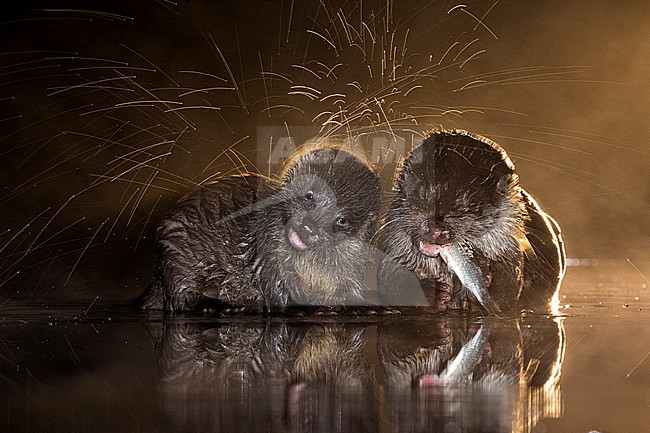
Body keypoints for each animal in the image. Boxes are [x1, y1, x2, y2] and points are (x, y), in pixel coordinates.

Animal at [137, 144, 382, 312]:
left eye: (341, 220)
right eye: (309, 195)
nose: (309, 227)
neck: (313, 270)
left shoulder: (351, 268)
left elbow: (350, 291)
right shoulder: (269, 255)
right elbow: (279, 293)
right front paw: (316, 307)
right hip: (176, 252)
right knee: (181, 298)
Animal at [378, 129, 565, 313]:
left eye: (466, 205)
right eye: (423, 193)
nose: (436, 229)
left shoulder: (509, 248)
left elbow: (510, 286)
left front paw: (484, 282)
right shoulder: (397, 248)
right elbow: (389, 281)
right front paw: (432, 293)